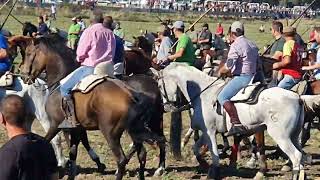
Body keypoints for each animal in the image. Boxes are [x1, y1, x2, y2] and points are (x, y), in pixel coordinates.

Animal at [16, 34, 165, 179]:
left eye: (28, 53)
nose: (23, 75)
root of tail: (131, 94)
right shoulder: (77, 128)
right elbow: (74, 152)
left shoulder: (55, 124)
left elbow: (47, 141)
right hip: (139, 129)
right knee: (144, 152)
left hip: (112, 133)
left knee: (122, 159)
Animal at [154, 63, 310, 179]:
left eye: (160, 86)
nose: (166, 106)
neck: (203, 94)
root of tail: (297, 97)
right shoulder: (206, 132)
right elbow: (196, 149)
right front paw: (204, 164)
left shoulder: (210, 131)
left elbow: (215, 155)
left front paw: (213, 172)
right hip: (293, 136)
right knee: (301, 157)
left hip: (281, 136)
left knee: (296, 157)